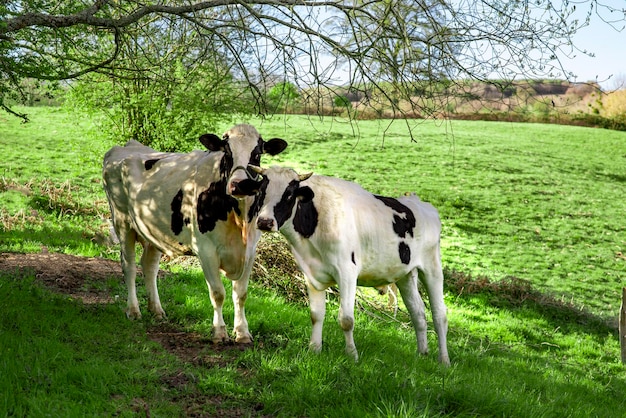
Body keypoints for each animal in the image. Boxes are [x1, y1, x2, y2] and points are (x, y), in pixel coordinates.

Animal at [102, 124, 288, 342]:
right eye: (226, 152)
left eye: (257, 154)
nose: (240, 184)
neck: (237, 216)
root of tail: (126, 147)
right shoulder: (206, 250)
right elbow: (218, 293)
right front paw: (219, 332)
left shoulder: (249, 251)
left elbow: (241, 294)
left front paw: (242, 332)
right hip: (122, 222)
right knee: (129, 265)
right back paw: (133, 310)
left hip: (153, 230)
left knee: (149, 266)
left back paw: (156, 310)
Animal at [240, 165, 448, 364]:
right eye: (261, 191)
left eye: (289, 194)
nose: (265, 222)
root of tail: (421, 203)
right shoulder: (311, 274)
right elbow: (316, 315)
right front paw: (314, 349)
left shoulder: (347, 272)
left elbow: (346, 319)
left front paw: (352, 355)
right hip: (405, 274)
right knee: (418, 313)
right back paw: (422, 354)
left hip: (432, 268)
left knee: (440, 316)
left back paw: (444, 361)